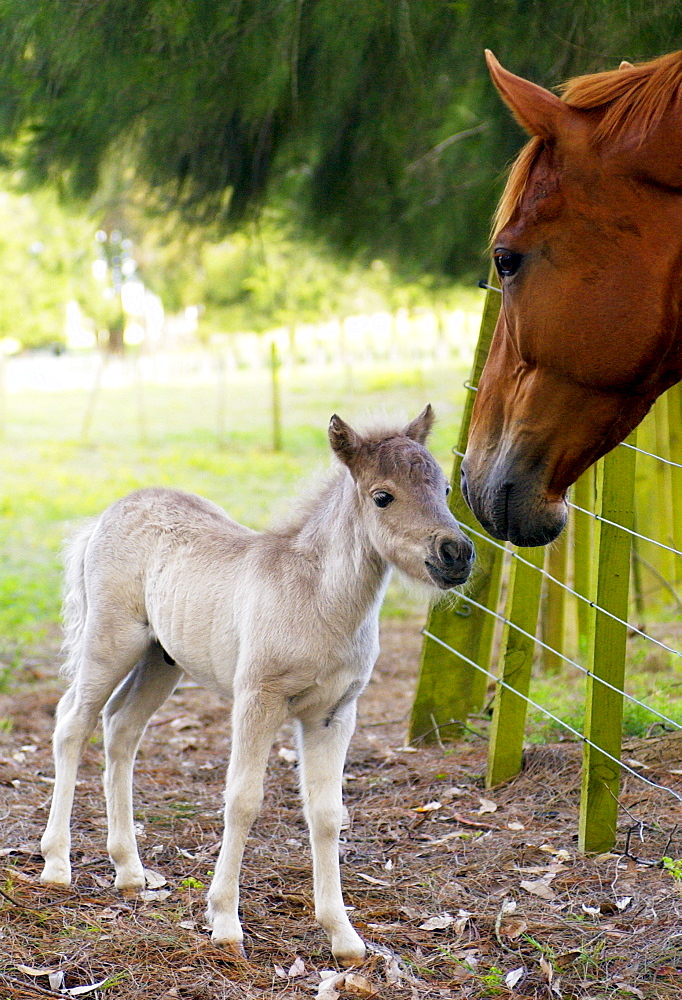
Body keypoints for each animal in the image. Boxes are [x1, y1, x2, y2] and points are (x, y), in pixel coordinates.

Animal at [39, 404, 470, 960]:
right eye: (383, 496)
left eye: (444, 488)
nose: (456, 553)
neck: (318, 601)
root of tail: (106, 515)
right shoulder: (257, 701)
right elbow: (243, 800)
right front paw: (224, 920)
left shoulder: (334, 714)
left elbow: (327, 813)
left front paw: (343, 936)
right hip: (110, 644)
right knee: (73, 722)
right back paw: (56, 864)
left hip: (162, 660)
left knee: (121, 728)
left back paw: (130, 870)